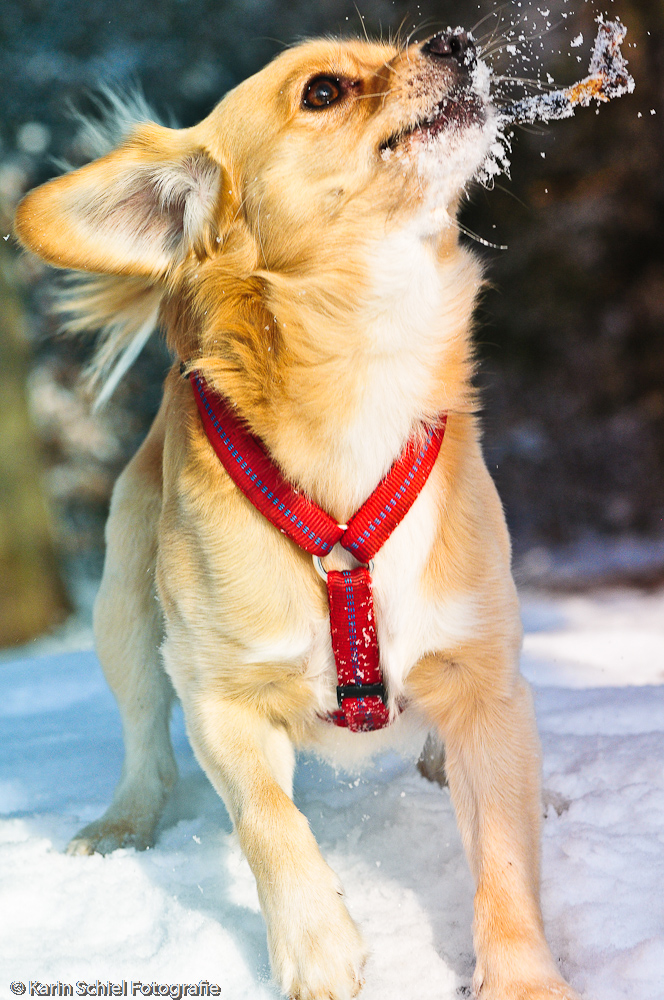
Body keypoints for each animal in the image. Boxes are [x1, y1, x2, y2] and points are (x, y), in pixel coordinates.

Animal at [14, 27, 580, 1000]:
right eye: (322, 91)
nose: (456, 38)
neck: (366, 362)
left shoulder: (478, 671)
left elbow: (505, 863)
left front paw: (523, 981)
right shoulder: (221, 697)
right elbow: (269, 824)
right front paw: (318, 947)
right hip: (123, 609)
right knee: (143, 741)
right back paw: (124, 824)